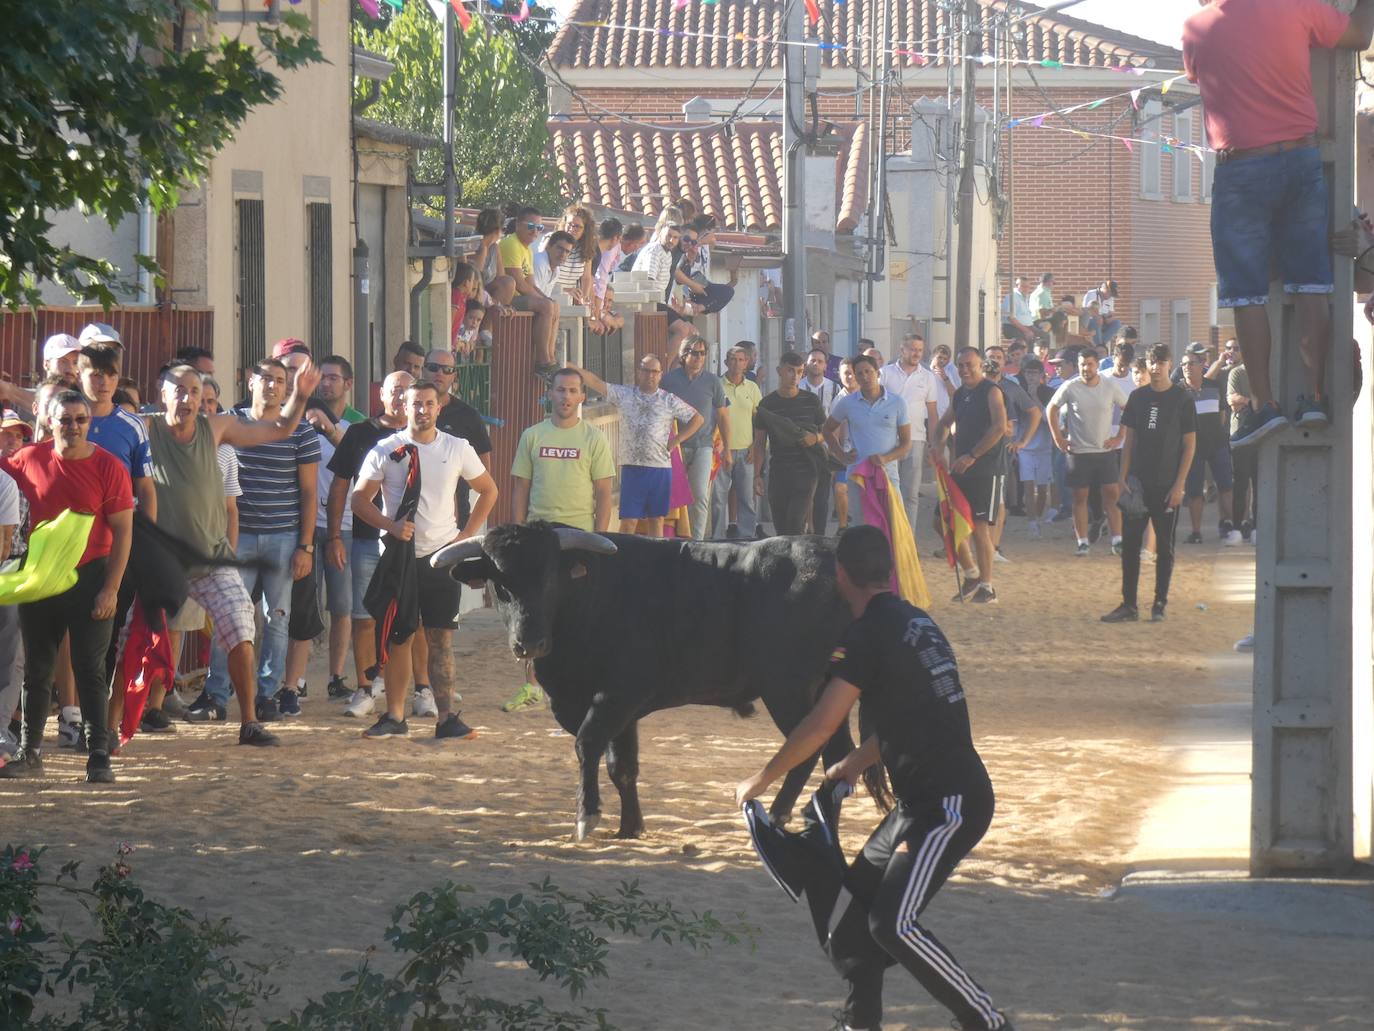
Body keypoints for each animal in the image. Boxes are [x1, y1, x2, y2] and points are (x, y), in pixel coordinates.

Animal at [434, 525, 851, 841]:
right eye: (499, 584)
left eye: (550, 577)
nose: (529, 643)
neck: (589, 597)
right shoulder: (621, 712)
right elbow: (622, 766)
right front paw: (630, 827)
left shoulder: (618, 696)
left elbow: (587, 744)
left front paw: (586, 817)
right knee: (838, 750)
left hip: (787, 690)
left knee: (810, 744)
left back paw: (780, 813)